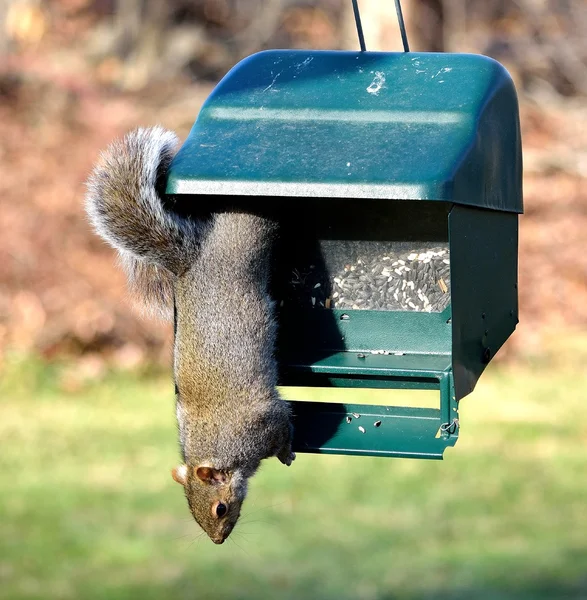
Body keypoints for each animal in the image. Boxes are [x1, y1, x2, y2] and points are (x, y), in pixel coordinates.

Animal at [85, 126, 296, 544]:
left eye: (220, 508)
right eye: (196, 514)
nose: (218, 540)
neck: (220, 449)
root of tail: (194, 260)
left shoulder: (263, 423)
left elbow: (284, 423)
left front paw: (286, 452)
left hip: (247, 241)